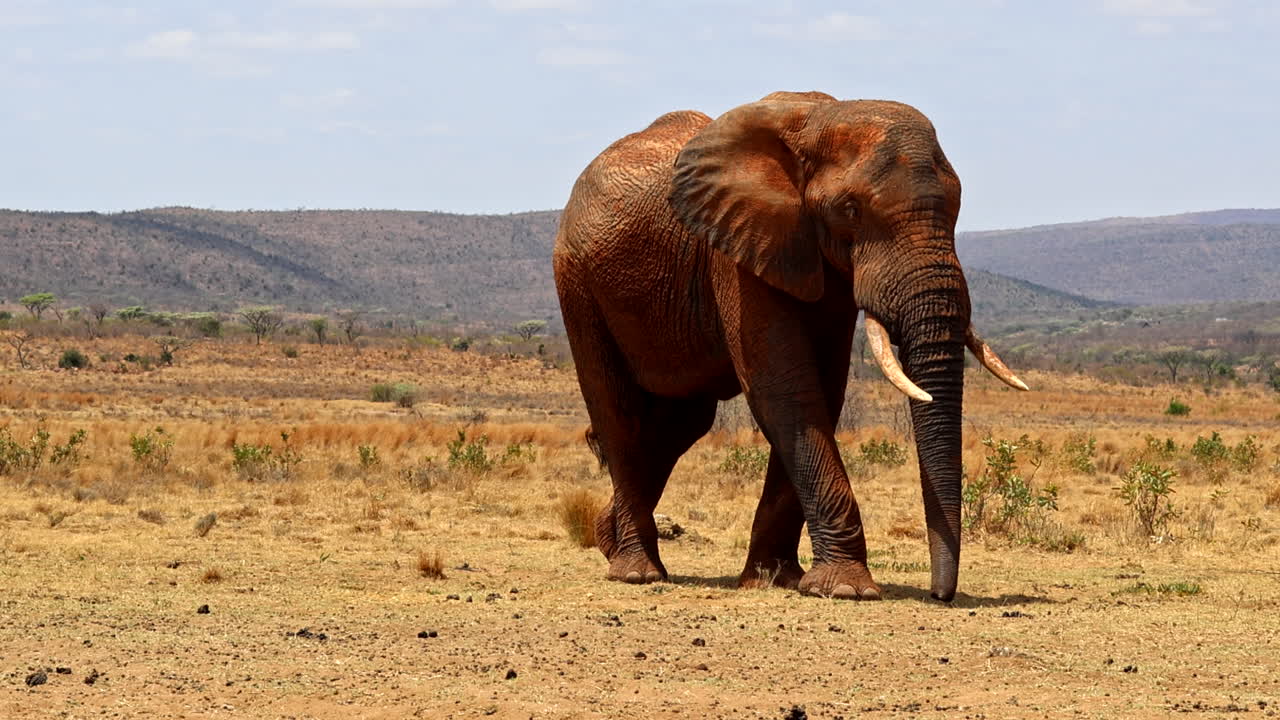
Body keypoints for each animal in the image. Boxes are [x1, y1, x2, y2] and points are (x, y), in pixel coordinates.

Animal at [552, 91, 1027, 602]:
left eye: (957, 207)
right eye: (850, 209)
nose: (940, 594)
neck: (820, 120)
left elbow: (822, 390)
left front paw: (776, 579)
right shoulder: (738, 249)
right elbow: (786, 389)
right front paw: (846, 589)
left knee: (681, 424)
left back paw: (607, 539)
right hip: (577, 280)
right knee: (618, 414)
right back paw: (637, 572)